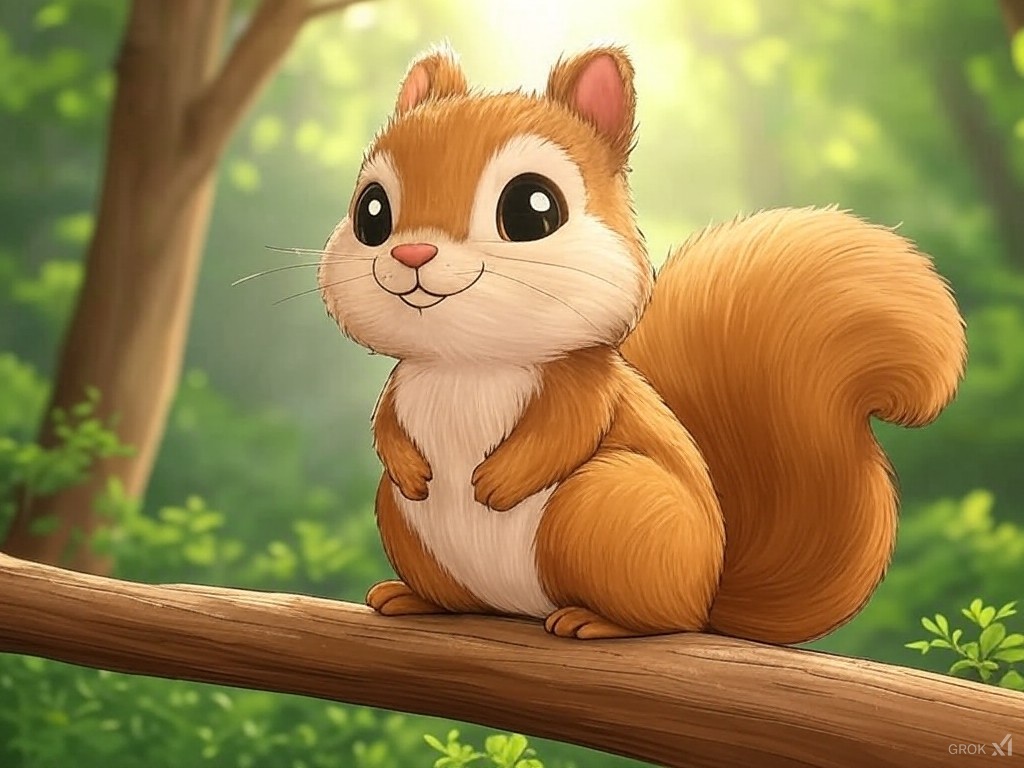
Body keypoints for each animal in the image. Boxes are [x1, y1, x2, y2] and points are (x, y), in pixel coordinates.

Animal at [317, 44, 967, 644]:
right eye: (371, 211)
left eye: (532, 208)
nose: (413, 253)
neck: (469, 362)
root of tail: (708, 599)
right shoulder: (402, 381)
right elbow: (386, 424)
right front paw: (408, 465)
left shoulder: (585, 384)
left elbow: (567, 428)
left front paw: (498, 482)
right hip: (407, 525)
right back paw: (414, 598)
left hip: (608, 507)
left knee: (661, 620)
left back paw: (595, 621)